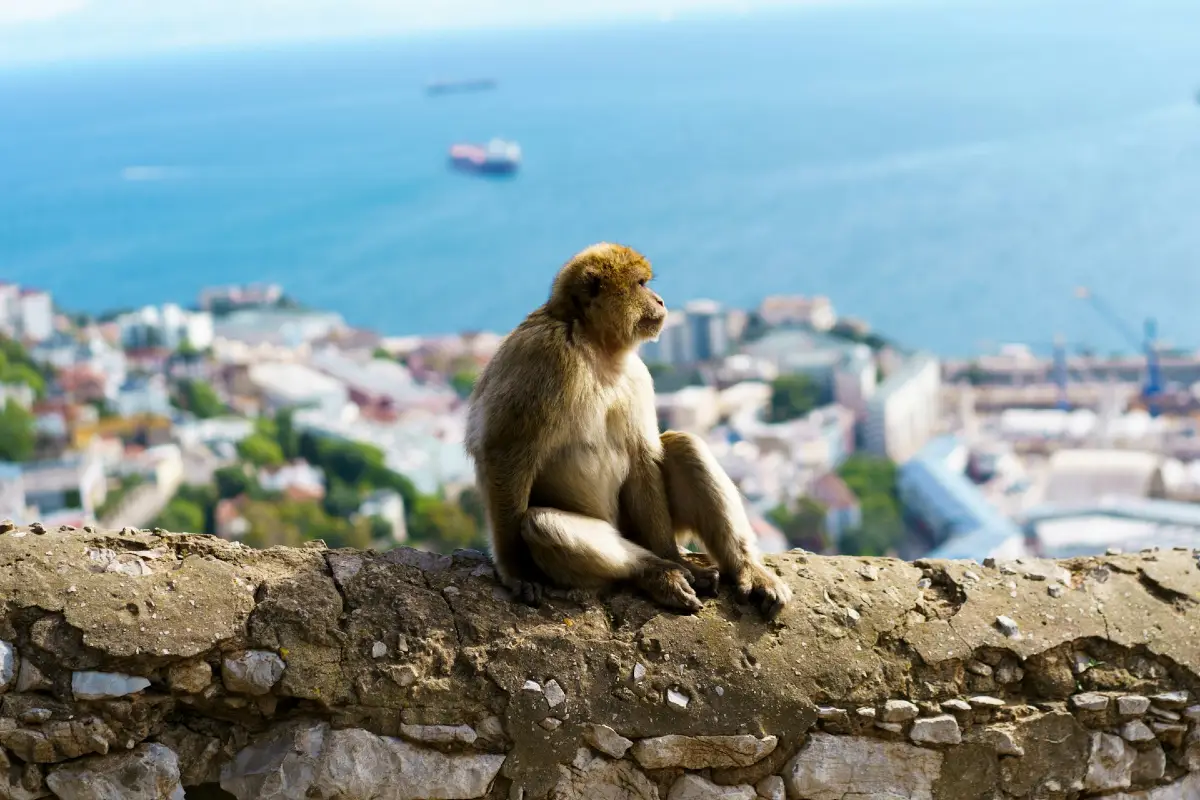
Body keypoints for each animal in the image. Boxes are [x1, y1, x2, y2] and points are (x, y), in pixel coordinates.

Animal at [463, 244, 792, 618]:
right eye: (640, 284)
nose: (661, 300)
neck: (594, 344)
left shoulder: (637, 375)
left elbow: (641, 458)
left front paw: (674, 556)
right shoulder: (544, 355)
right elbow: (505, 452)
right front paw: (516, 569)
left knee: (684, 445)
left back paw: (731, 568)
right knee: (542, 523)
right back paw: (655, 572)